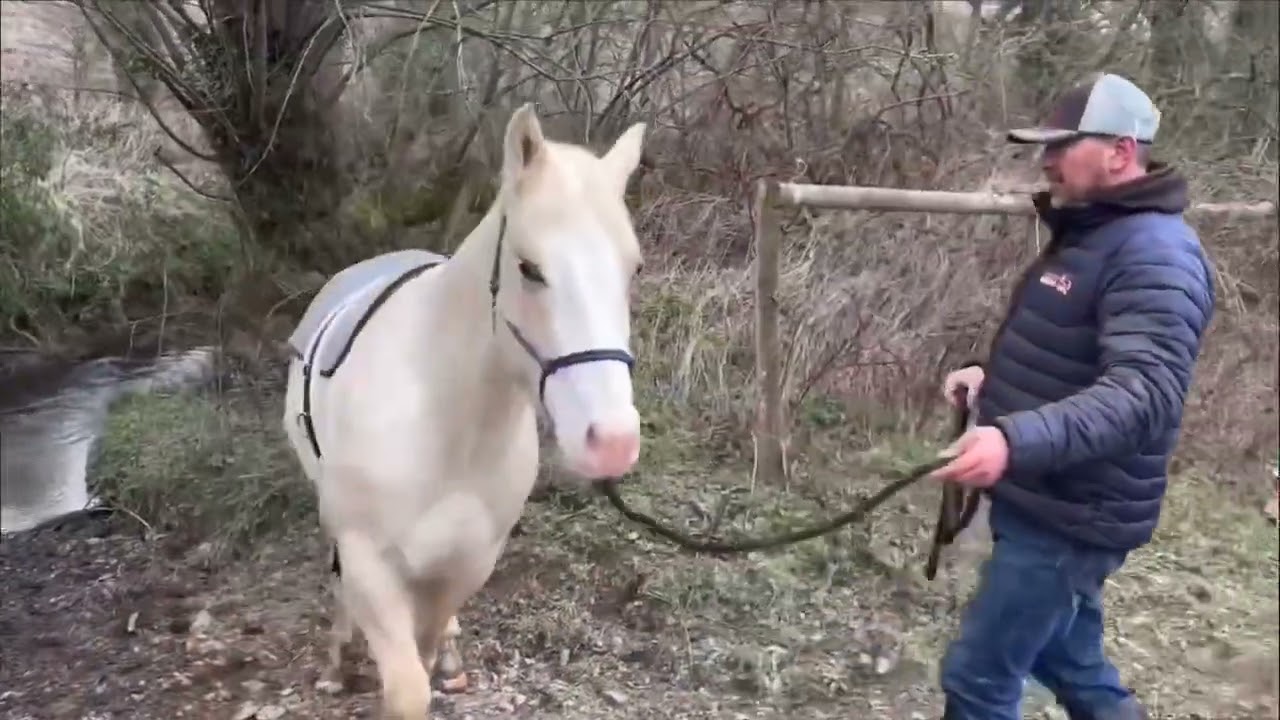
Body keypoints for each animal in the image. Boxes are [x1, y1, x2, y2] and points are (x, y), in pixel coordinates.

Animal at [281, 104, 648, 719]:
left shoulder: (469, 561)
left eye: (633, 270)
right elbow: (404, 684)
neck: (447, 424)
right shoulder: (368, 560)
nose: (612, 440)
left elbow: (429, 649)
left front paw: (446, 659)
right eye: (529, 267)